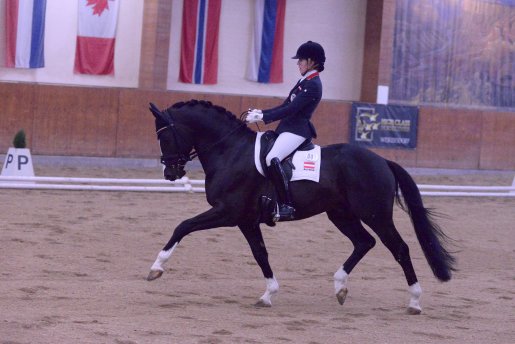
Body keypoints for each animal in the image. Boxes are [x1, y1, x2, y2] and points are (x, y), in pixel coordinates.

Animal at [146, 98, 456, 314]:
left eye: (164, 136)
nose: (170, 173)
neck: (230, 151)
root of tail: (382, 160)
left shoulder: (228, 212)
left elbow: (183, 226)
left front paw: (156, 268)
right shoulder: (246, 219)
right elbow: (260, 254)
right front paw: (268, 294)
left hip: (375, 214)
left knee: (399, 248)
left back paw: (414, 302)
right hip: (340, 214)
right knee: (364, 242)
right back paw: (340, 286)